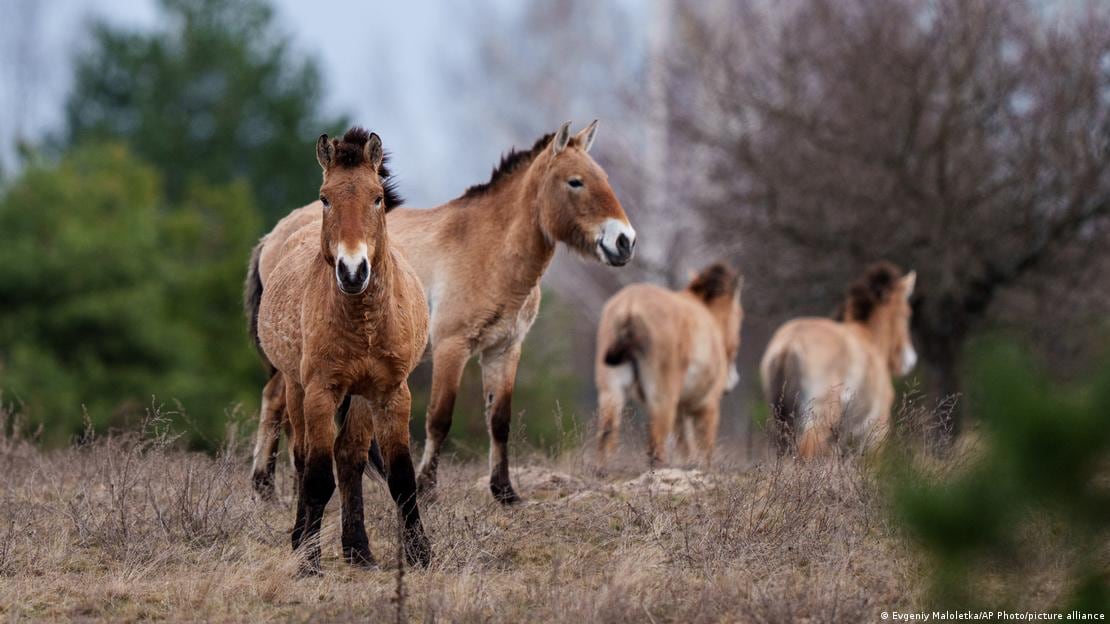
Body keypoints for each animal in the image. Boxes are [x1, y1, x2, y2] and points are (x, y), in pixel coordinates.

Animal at [246, 128, 430, 574]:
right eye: (326, 197)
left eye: (377, 197)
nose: (352, 270)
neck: (363, 322)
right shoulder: (320, 391)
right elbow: (316, 475)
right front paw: (309, 561)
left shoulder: (391, 393)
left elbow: (401, 477)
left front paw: (420, 554)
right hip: (296, 387)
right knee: (302, 456)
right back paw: (302, 539)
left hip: (360, 398)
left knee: (349, 458)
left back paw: (359, 550)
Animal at [250, 121, 636, 504]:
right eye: (575, 181)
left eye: (602, 176)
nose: (625, 241)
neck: (488, 248)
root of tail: (274, 235)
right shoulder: (452, 346)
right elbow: (439, 418)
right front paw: (426, 487)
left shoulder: (504, 349)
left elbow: (500, 420)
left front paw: (505, 491)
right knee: (278, 402)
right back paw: (268, 489)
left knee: (276, 401)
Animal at [595, 263, 743, 467]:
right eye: (740, 315)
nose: (734, 379)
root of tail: (630, 306)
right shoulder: (708, 405)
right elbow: (704, 449)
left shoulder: (681, 411)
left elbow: (685, 447)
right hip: (662, 399)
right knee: (656, 446)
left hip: (611, 392)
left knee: (606, 435)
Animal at [760, 262, 917, 458]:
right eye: (907, 313)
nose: (909, 359)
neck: (869, 338)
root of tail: (789, 344)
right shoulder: (875, 431)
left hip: (783, 419)